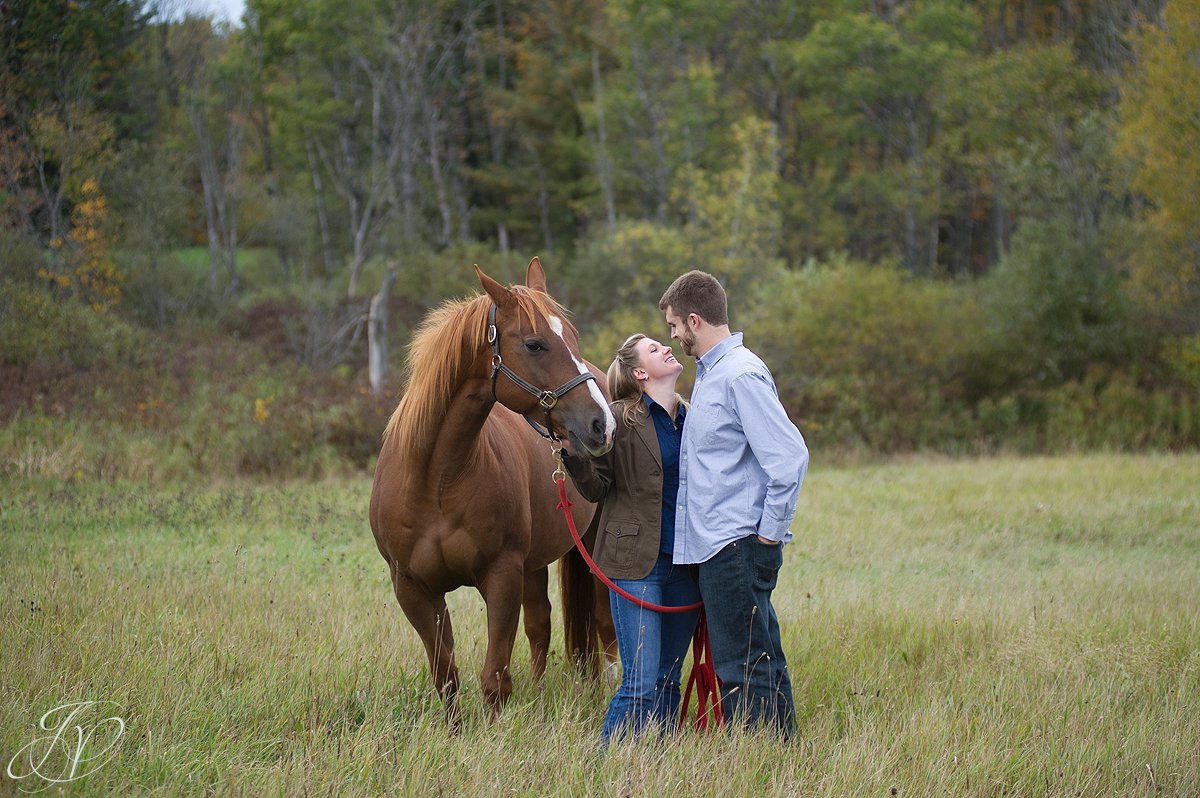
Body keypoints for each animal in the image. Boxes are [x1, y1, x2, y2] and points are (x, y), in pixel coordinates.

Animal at [369, 258, 619, 720]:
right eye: (536, 344)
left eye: (572, 337)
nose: (602, 425)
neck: (437, 479)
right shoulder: (412, 588)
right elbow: (445, 675)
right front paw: (455, 730)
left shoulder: (501, 575)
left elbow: (494, 678)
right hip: (535, 562)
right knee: (540, 623)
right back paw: (539, 693)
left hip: (590, 548)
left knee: (603, 622)